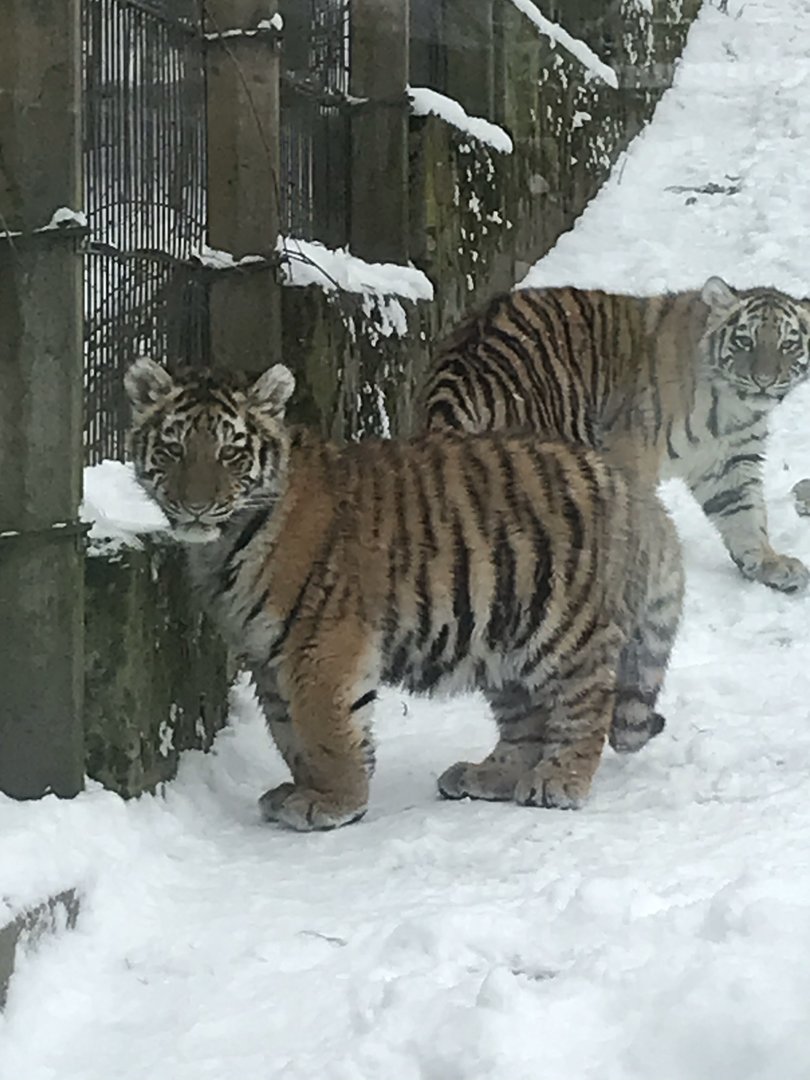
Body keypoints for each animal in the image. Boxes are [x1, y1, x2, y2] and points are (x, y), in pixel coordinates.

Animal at [125, 357, 683, 832]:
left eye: (231, 452)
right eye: (173, 449)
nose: (196, 506)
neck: (226, 543)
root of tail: (622, 483)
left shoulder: (322, 643)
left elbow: (323, 727)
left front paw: (333, 803)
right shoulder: (265, 653)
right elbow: (288, 734)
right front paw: (301, 789)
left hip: (564, 628)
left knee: (586, 704)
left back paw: (560, 781)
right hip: (507, 635)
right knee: (525, 720)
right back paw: (489, 775)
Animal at [420, 276, 810, 593]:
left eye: (788, 345)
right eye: (744, 341)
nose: (764, 380)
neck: (734, 408)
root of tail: (460, 367)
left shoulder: (731, 461)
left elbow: (745, 515)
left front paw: (768, 564)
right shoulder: (632, 451)